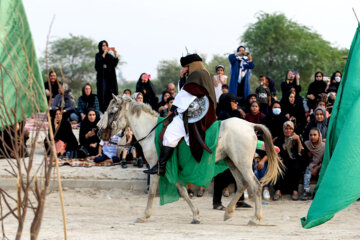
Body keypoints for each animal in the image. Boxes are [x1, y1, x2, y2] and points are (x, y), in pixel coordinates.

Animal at [97, 95, 282, 225]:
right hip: (232, 162)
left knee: (255, 186)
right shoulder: (171, 170)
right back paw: (228, 212)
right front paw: (196, 216)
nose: (98, 132)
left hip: (242, 163)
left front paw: (143, 216)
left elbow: (152, 193)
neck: (151, 131)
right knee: (242, 184)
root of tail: (249, 125)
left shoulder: (157, 168)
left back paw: (255, 218)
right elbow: (184, 192)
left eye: (112, 112)